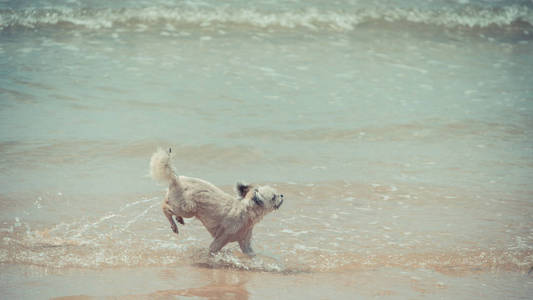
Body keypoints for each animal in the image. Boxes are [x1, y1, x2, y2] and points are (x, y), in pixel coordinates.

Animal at [150, 148, 282, 255]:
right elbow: (212, 250)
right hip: (189, 209)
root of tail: (176, 180)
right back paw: (174, 225)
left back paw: (178, 219)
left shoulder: (245, 244)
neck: (245, 212)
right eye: (273, 197)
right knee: (165, 207)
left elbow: (251, 255)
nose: (282, 195)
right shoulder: (220, 240)